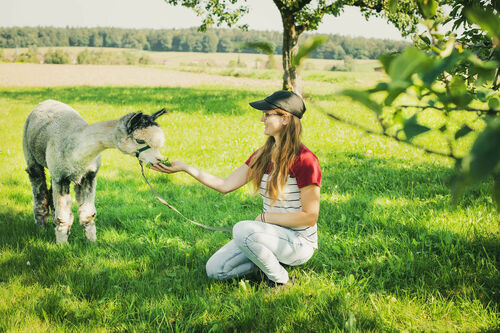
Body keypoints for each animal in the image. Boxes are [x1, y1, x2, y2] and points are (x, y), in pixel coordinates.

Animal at [22, 100, 167, 243]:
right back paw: (41, 228)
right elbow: (63, 217)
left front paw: (92, 243)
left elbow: (88, 214)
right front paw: (62, 245)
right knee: (39, 191)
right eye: (139, 140)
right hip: (31, 155)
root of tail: (45, 102)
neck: (78, 152)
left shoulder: (88, 175)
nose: (159, 159)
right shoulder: (61, 176)